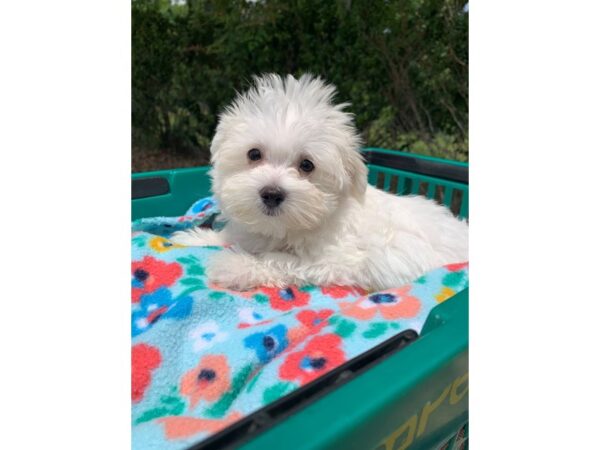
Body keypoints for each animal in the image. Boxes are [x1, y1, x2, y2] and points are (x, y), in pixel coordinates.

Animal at [170, 74, 468, 292]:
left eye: (307, 165)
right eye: (253, 154)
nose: (271, 193)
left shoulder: (343, 260)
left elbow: (283, 261)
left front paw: (234, 266)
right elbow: (232, 236)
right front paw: (195, 238)